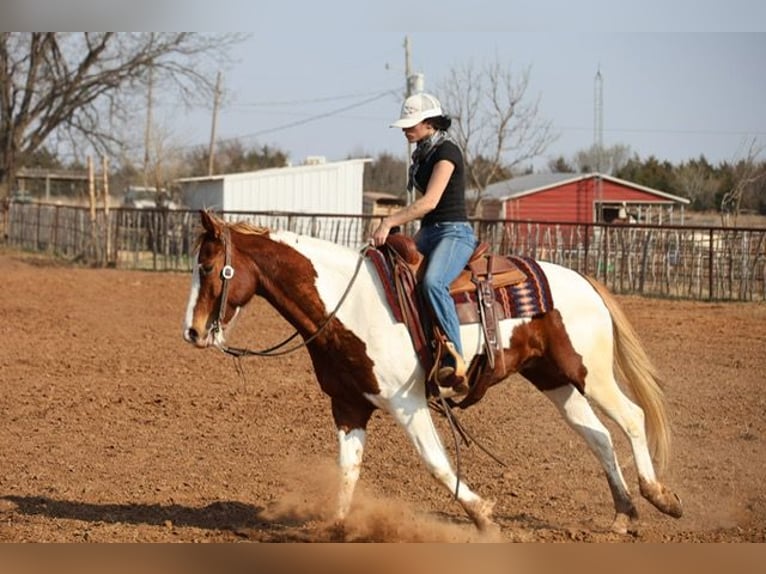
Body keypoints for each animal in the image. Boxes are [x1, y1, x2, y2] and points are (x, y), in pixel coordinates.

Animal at [182, 210, 683, 535]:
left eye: (207, 266)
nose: (192, 331)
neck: (348, 306)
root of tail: (584, 280)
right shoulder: (348, 405)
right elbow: (348, 471)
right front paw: (337, 529)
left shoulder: (407, 403)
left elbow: (436, 462)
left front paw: (482, 515)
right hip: (555, 379)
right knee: (598, 436)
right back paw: (624, 514)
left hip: (590, 373)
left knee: (632, 417)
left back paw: (660, 496)